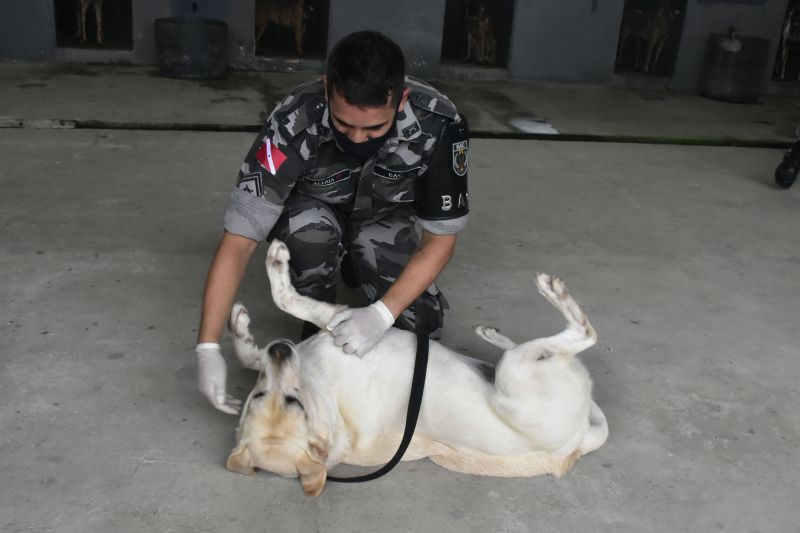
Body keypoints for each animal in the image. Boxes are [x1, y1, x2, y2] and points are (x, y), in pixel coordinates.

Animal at [223, 241, 608, 494]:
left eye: (260, 395)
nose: (280, 351)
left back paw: (494, 336)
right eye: (292, 403)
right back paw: (552, 293)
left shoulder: (330, 329)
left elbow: (262, 338)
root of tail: (576, 444)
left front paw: (242, 333)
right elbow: (286, 300)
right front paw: (276, 268)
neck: (330, 406)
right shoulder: (336, 323)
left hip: (512, 371)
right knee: (583, 335)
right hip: (518, 374)